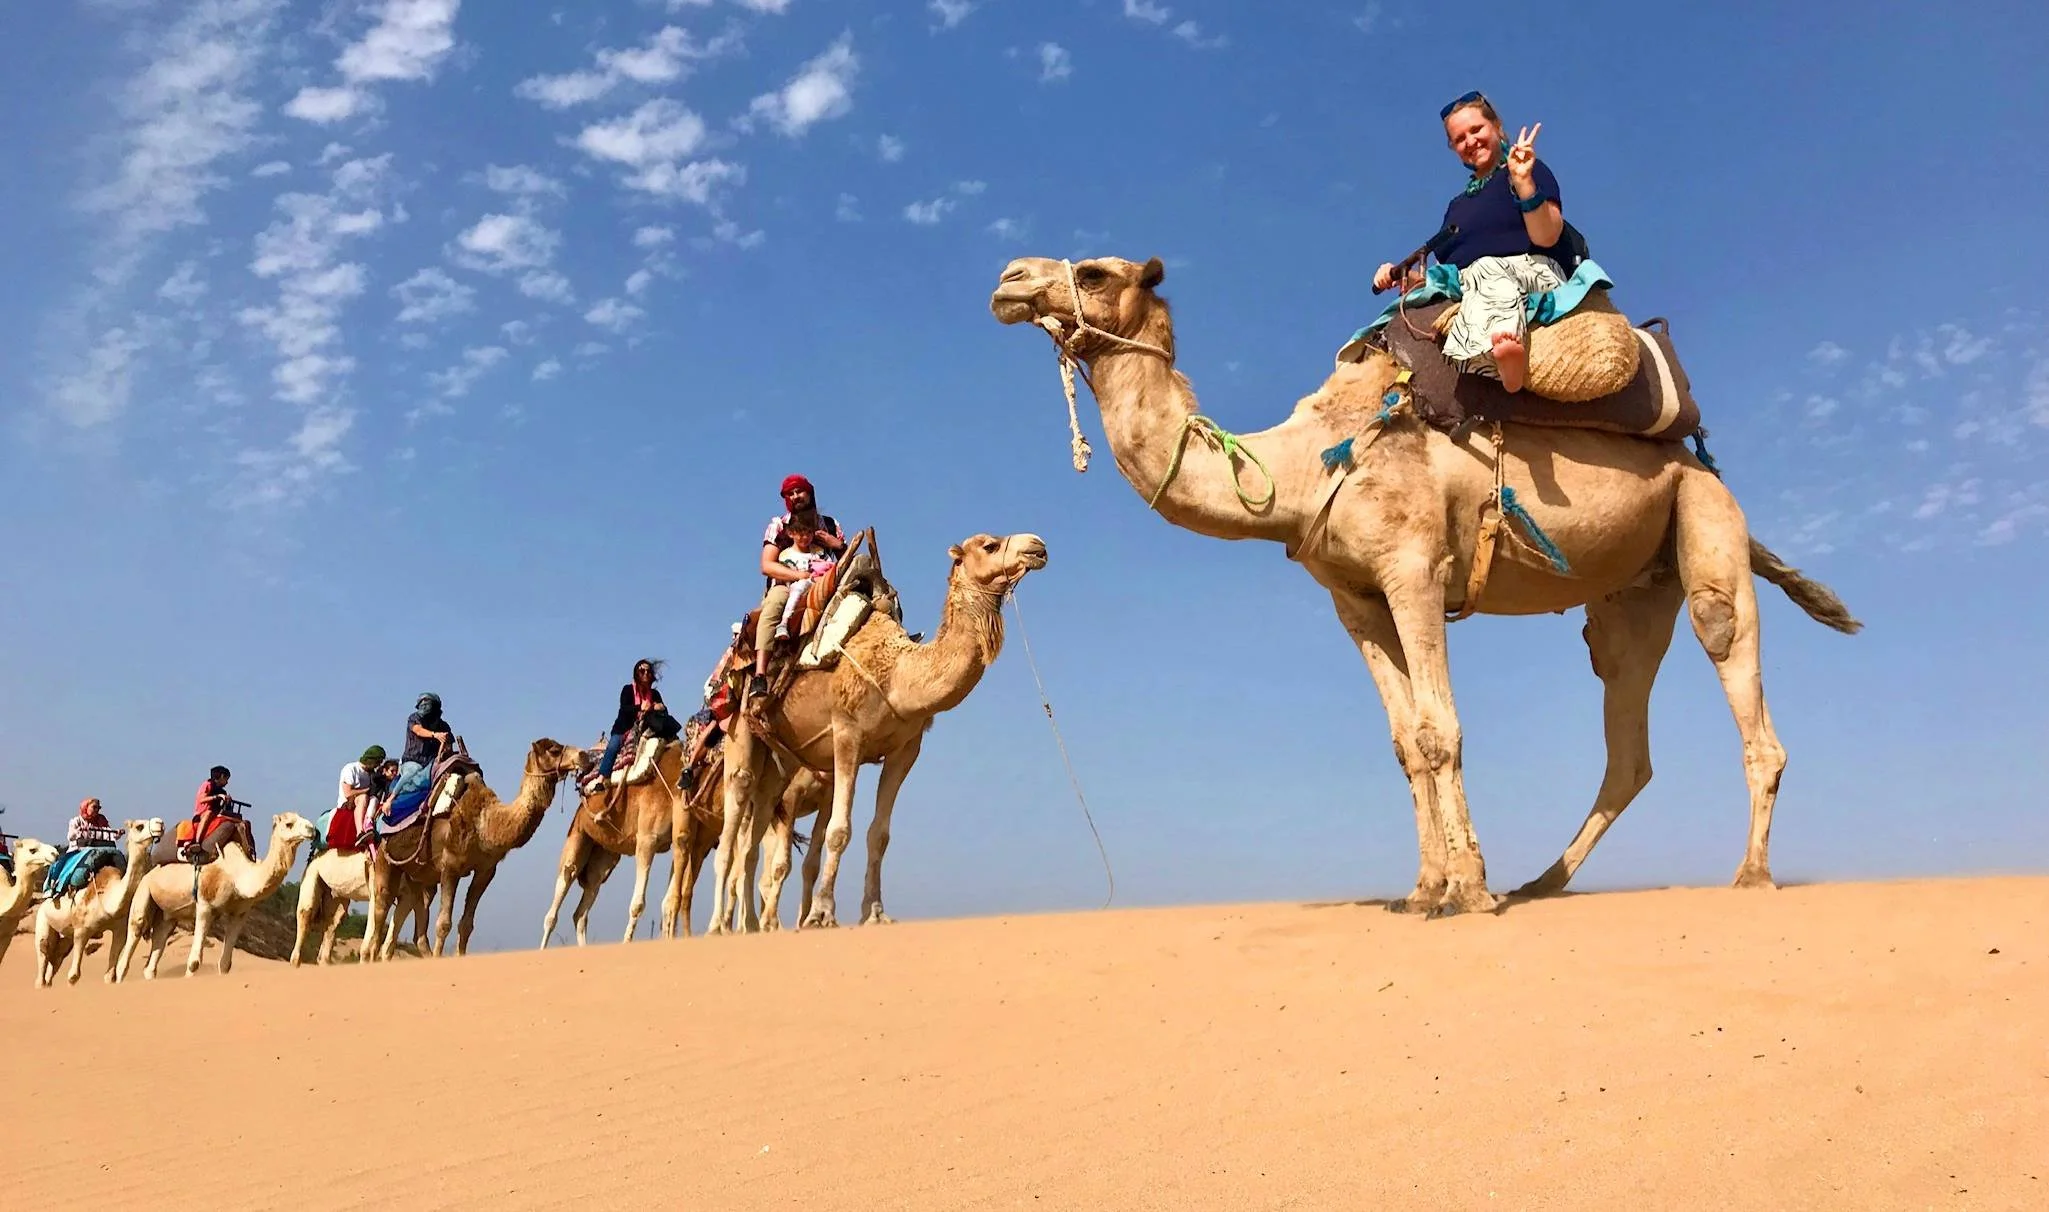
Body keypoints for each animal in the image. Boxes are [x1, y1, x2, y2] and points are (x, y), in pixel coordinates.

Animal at [31, 817, 165, 987]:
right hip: (43, 920)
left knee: (57, 958)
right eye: (139, 826)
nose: (159, 823)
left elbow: (109, 974)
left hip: (65, 936)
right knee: (43, 951)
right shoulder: (81, 930)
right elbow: (73, 976)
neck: (108, 897)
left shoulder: (119, 930)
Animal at [116, 813, 319, 980]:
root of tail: (149, 873)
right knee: (133, 936)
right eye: (289, 823)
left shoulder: (239, 914)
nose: (312, 829)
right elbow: (194, 962)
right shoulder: (205, 906)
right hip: (143, 892)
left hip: (167, 916)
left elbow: (225, 963)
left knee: (155, 951)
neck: (237, 875)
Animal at [367, 738, 585, 960]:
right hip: (385, 860)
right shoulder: (450, 865)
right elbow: (443, 924)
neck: (485, 822)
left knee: (415, 924)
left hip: (418, 877)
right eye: (554, 750)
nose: (583, 755)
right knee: (380, 912)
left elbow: (466, 925)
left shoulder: (486, 870)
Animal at [711, 532, 1050, 933]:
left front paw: (873, 912)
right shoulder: (847, 733)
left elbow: (879, 834)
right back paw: (719, 926)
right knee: (733, 826)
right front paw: (822, 914)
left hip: (779, 764)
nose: (1037, 545)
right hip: (738, 728)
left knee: (752, 841)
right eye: (989, 546)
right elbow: (840, 831)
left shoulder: (905, 749)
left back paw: (750, 925)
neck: (898, 673)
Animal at [989, 255, 1859, 916]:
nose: (1008, 279)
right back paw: (1540, 882)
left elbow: (1442, 730)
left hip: (1706, 520)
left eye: (1094, 271)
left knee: (1731, 662)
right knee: (1626, 742)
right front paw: (1422, 891)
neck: (1305, 466)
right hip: (1632, 593)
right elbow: (1406, 742)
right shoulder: (1353, 599)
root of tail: (1703, 464)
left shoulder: (1413, 569)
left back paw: (1748, 875)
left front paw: (1467, 891)